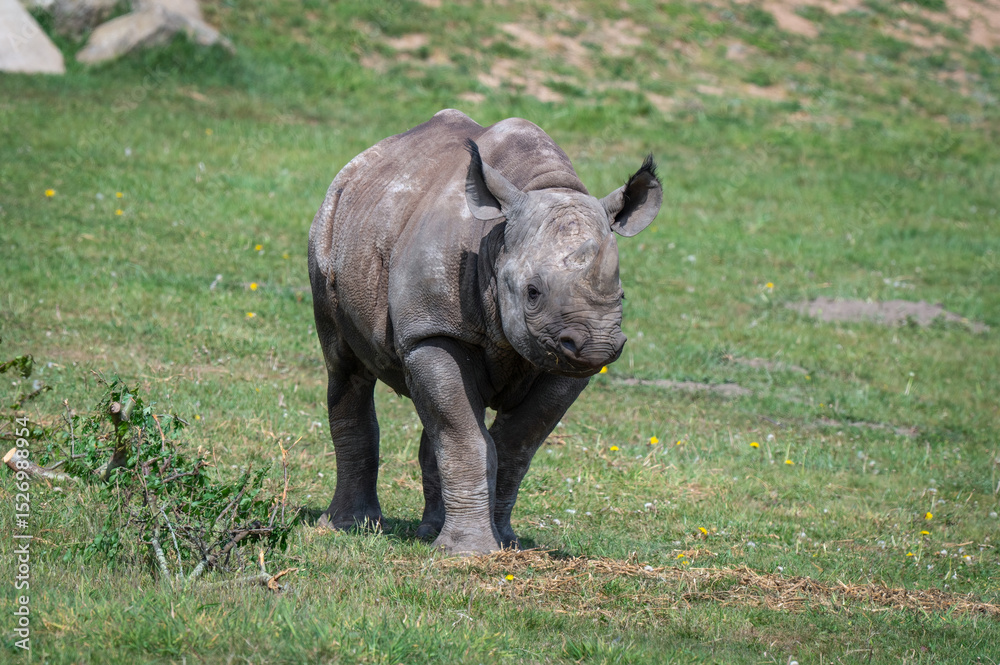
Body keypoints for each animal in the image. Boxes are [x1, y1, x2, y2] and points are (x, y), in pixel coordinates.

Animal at [308, 109, 662, 554]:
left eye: (622, 294)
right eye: (532, 292)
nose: (597, 346)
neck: (496, 239)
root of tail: (359, 163)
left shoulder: (564, 364)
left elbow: (514, 444)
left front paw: (503, 543)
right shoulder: (433, 332)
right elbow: (466, 438)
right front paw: (468, 552)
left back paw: (429, 532)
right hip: (328, 226)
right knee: (346, 367)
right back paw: (349, 526)